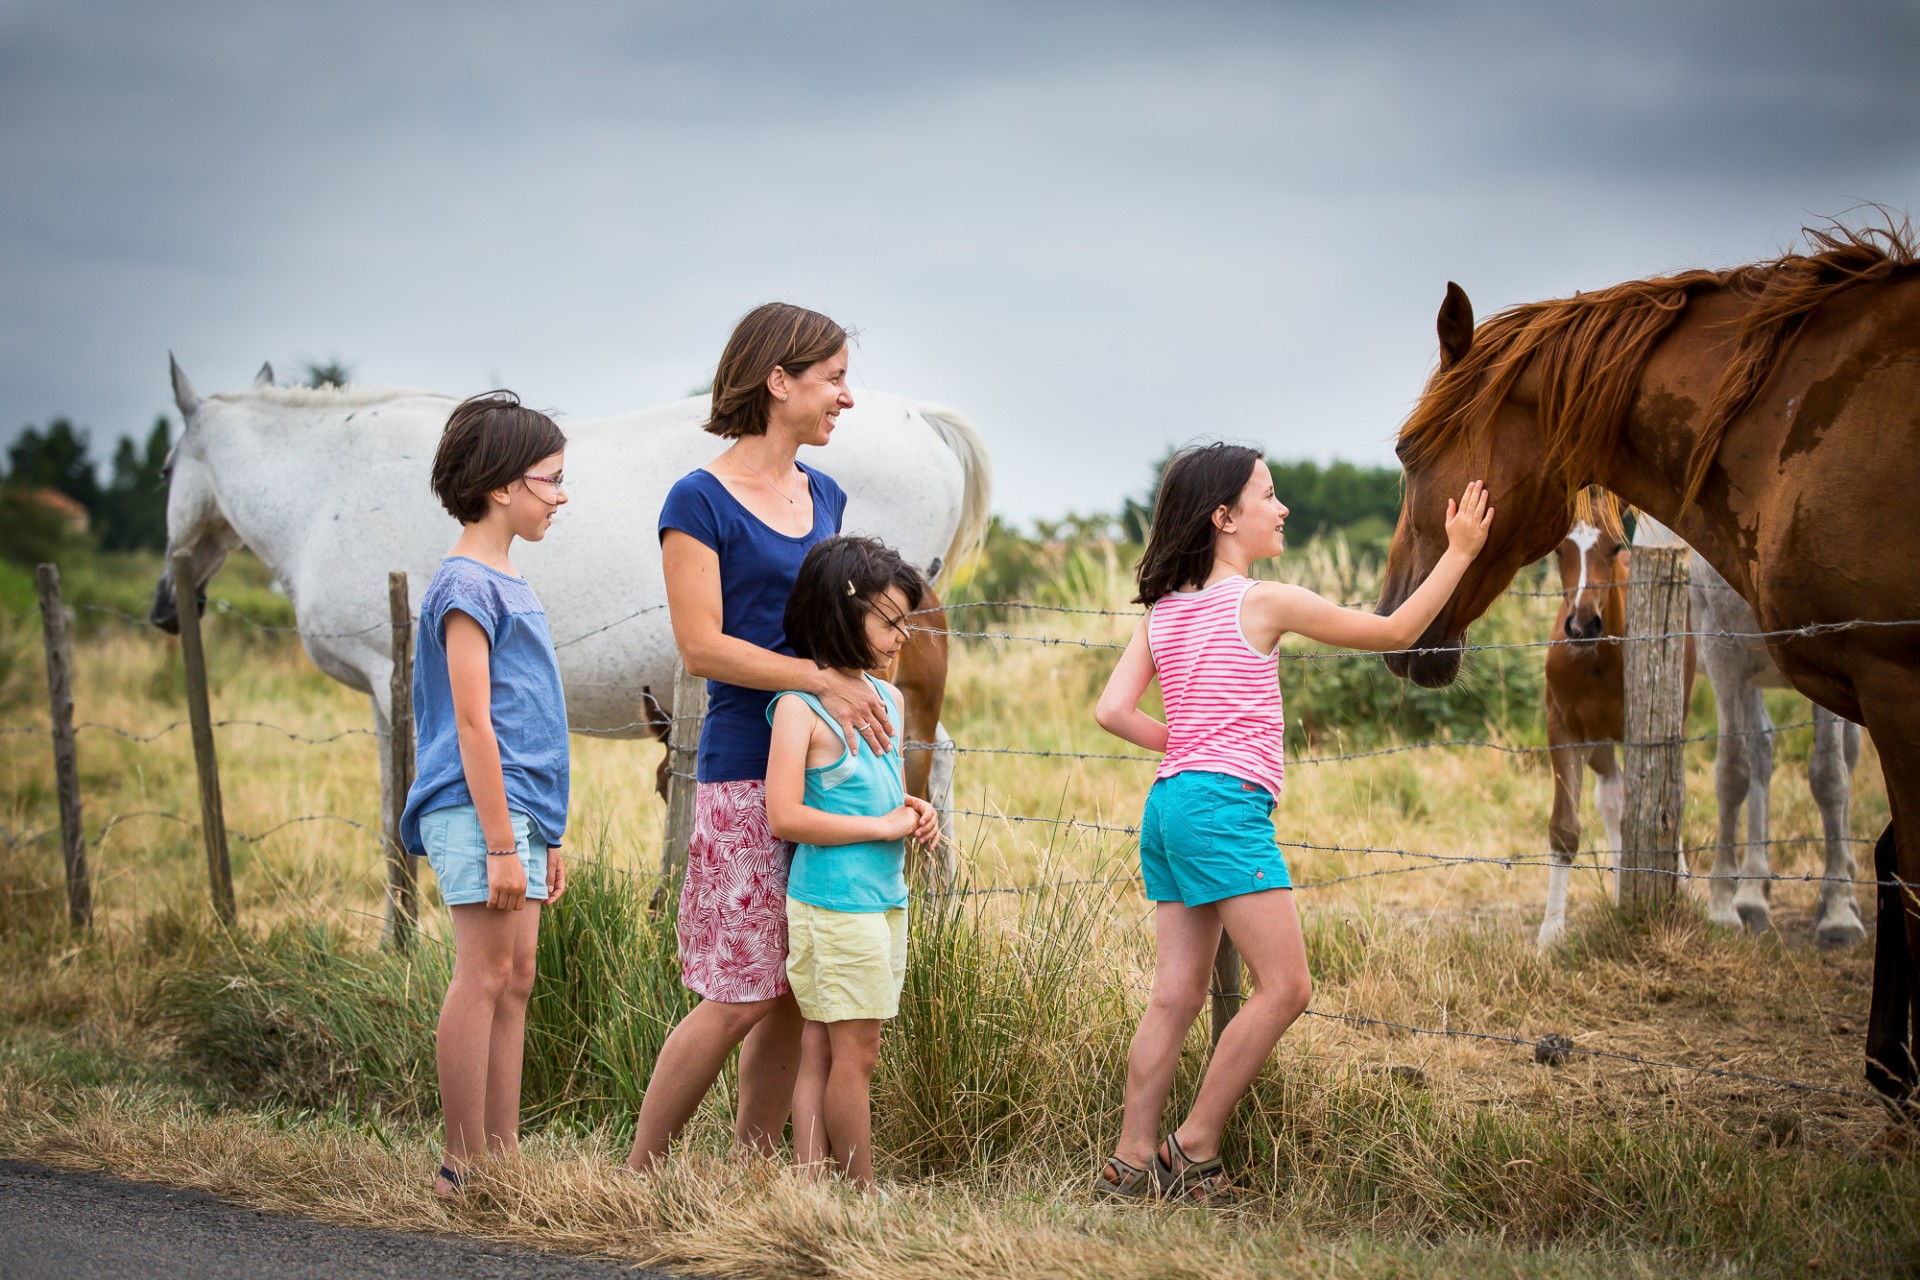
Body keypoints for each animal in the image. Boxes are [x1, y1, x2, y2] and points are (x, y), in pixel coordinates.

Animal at [153, 358, 990, 901]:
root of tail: (925, 420)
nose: (167, 605)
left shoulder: (391, 688)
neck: (329, 483)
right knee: (934, 756)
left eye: (164, 470)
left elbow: (399, 815)